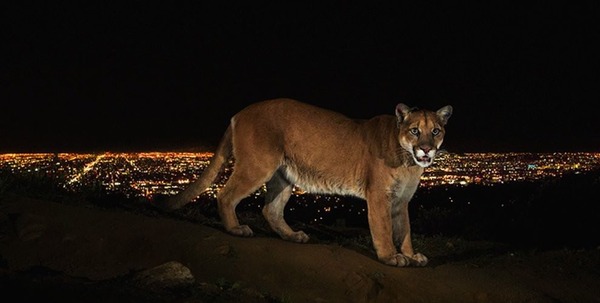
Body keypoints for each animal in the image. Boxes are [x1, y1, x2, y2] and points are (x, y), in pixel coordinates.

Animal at [162, 98, 452, 268]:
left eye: (435, 131)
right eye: (415, 130)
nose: (426, 149)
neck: (409, 162)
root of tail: (239, 112)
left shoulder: (401, 200)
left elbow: (405, 230)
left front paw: (411, 255)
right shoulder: (379, 195)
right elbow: (384, 229)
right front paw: (391, 256)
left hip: (284, 176)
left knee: (270, 209)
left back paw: (292, 235)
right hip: (258, 166)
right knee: (225, 194)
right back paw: (236, 229)